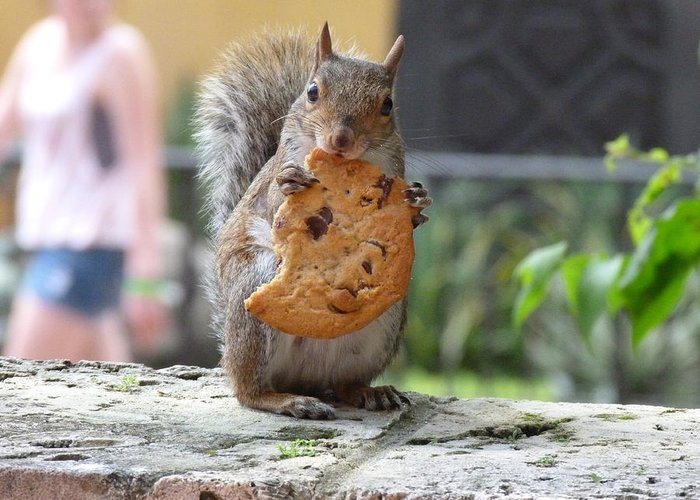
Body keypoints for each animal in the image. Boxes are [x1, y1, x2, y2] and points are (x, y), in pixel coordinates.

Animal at [194, 23, 431, 419]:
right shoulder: (273, 177)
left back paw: (369, 392)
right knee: (247, 390)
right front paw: (291, 184)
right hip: (254, 290)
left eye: (387, 104)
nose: (340, 140)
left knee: (345, 383)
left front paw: (417, 204)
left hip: (385, 319)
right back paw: (285, 400)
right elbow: (276, 204)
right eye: (312, 91)